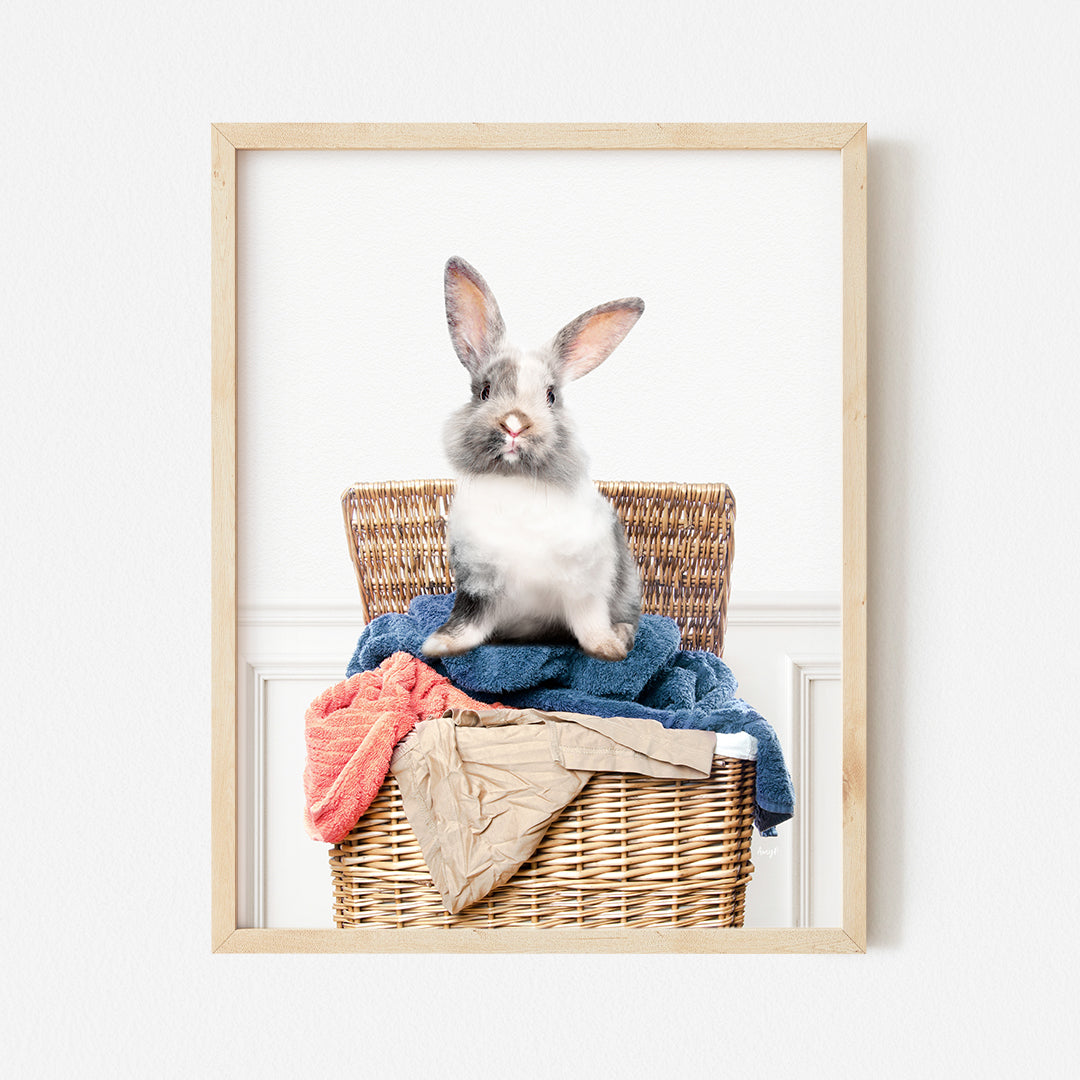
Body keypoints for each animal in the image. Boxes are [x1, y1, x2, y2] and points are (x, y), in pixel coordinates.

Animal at [419, 260, 639, 660]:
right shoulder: (477, 582)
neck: (516, 482)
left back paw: (623, 634)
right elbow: (469, 619)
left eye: (551, 396)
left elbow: (589, 621)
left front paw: (608, 649)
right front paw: (441, 645)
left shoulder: (587, 584)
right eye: (485, 391)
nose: (514, 423)